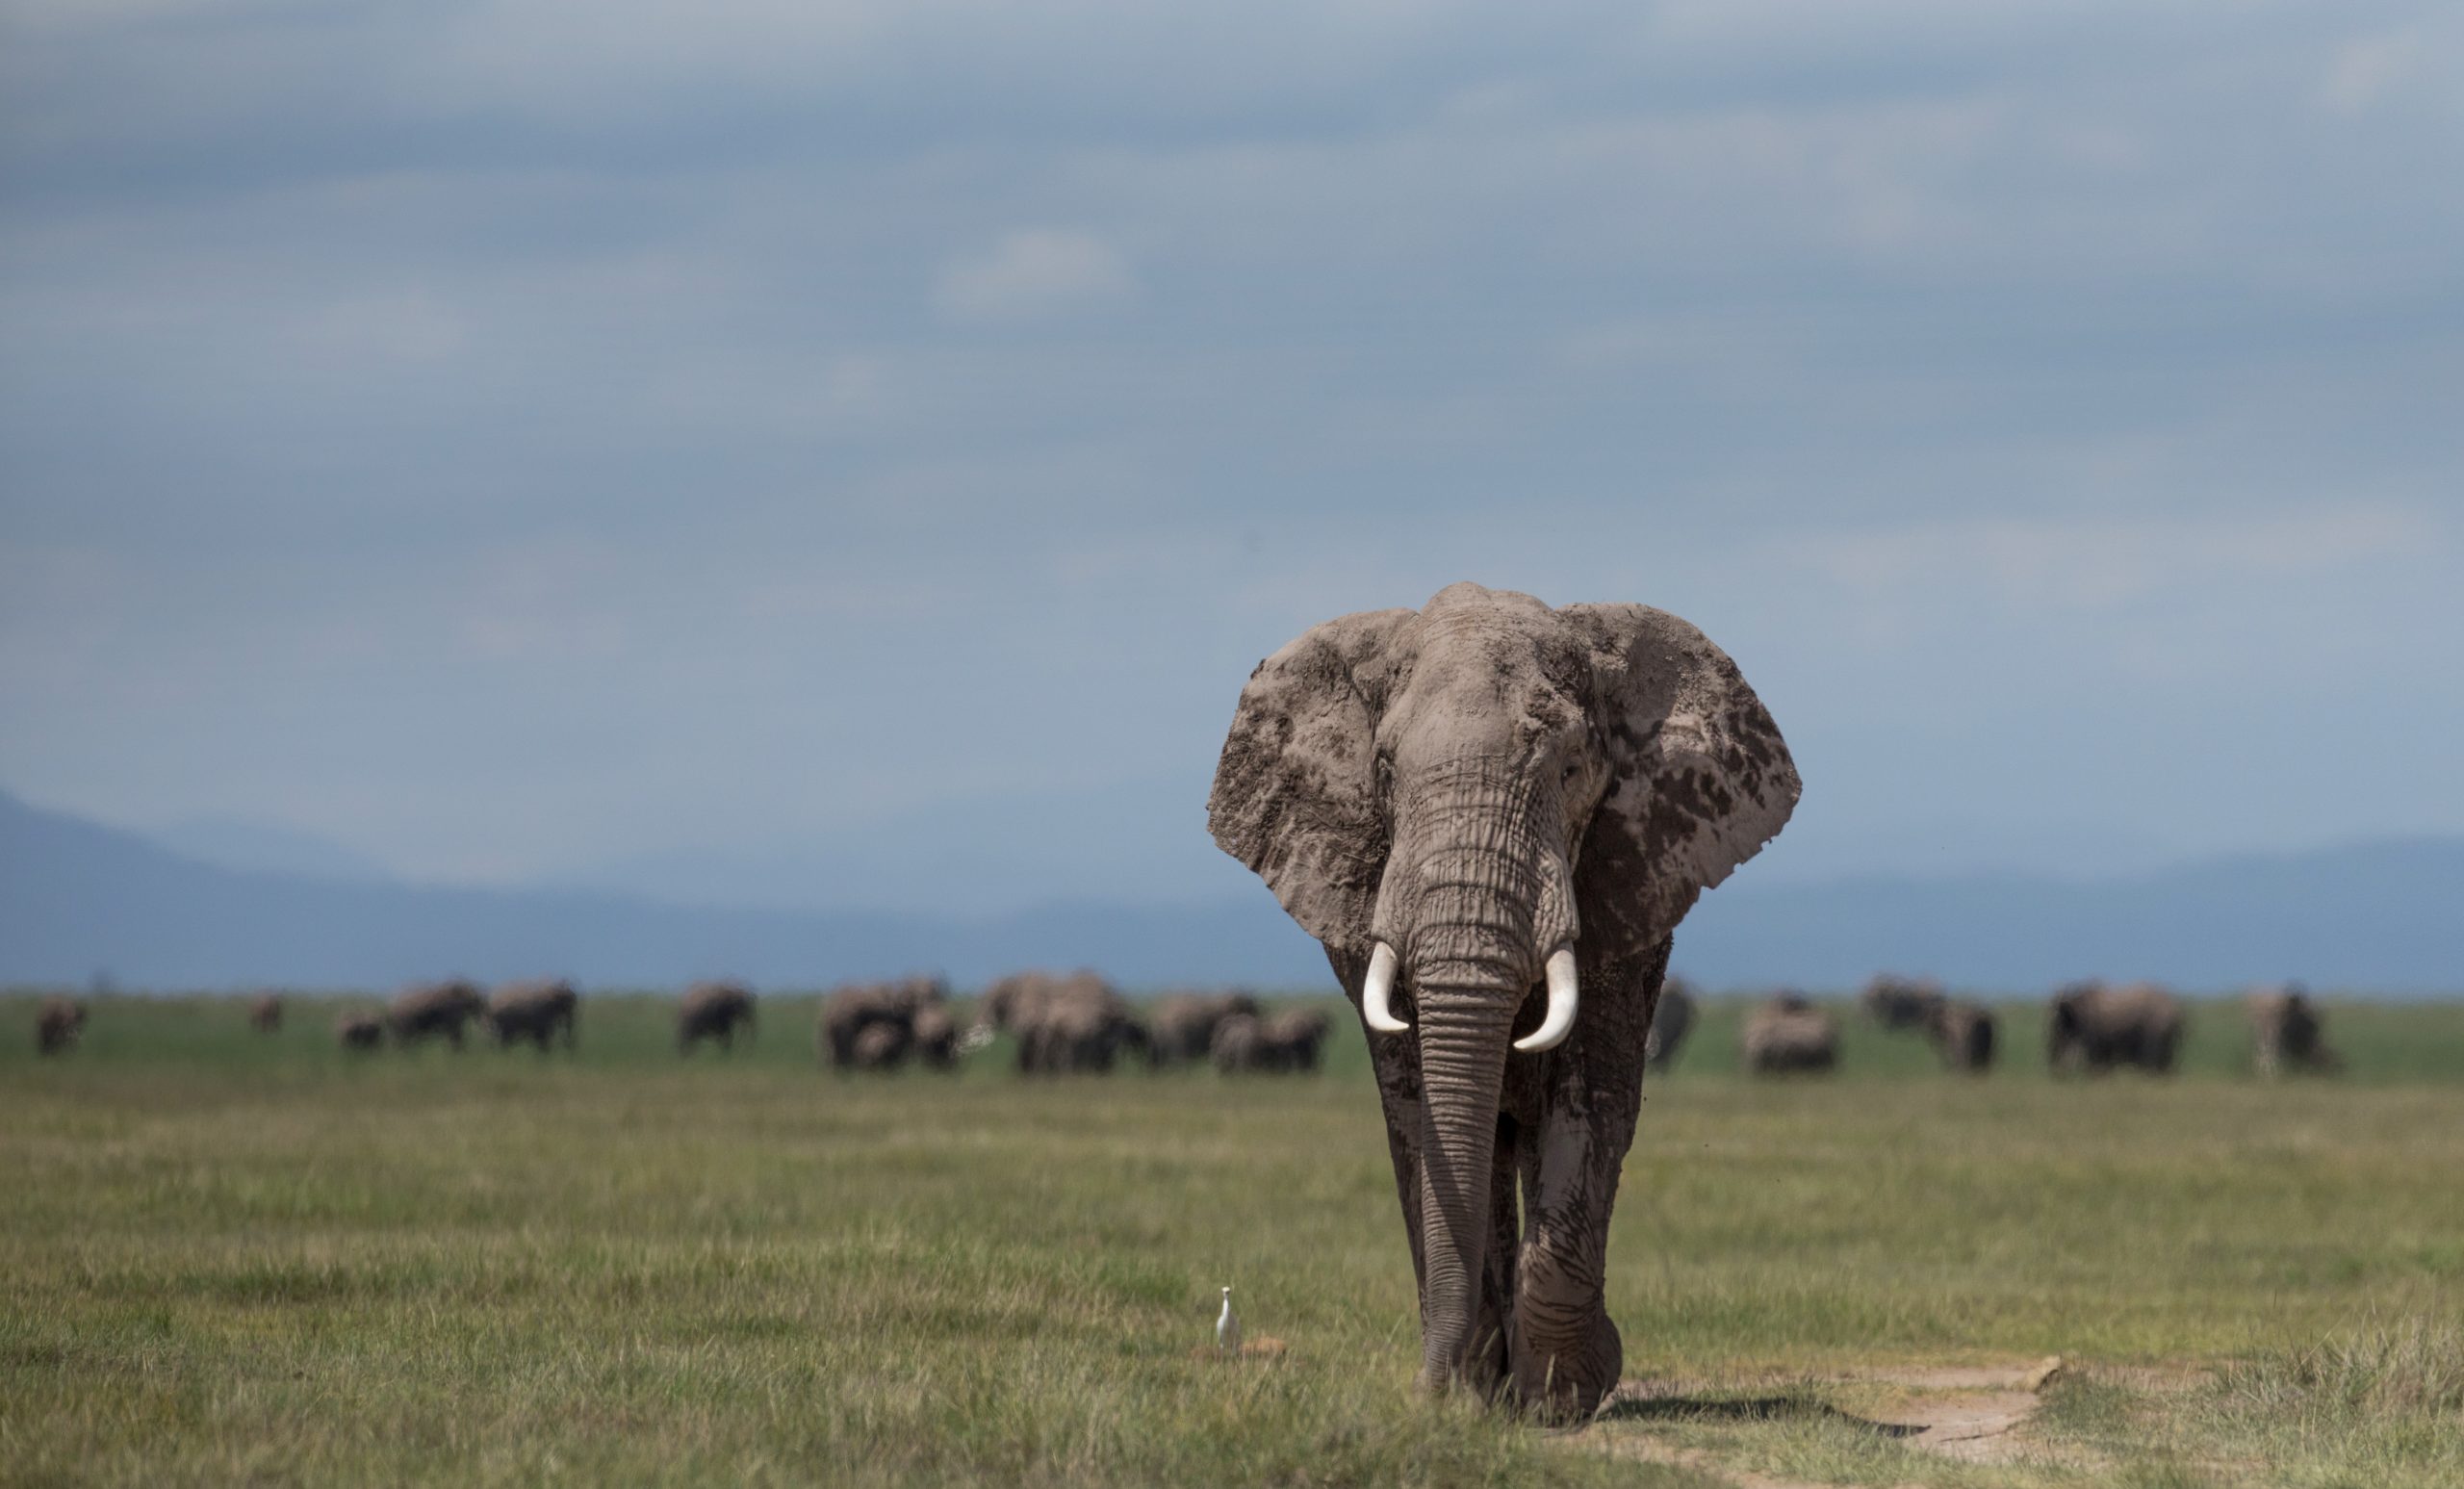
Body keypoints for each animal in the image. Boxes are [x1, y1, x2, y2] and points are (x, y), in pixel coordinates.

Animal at [1207, 581, 1793, 1420]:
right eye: (1383, 770)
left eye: (1573, 768)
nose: (1429, 1388)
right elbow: (1418, 1115)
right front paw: (1477, 1391)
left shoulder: (1626, 885)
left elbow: (1591, 1100)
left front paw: (1567, 1391)